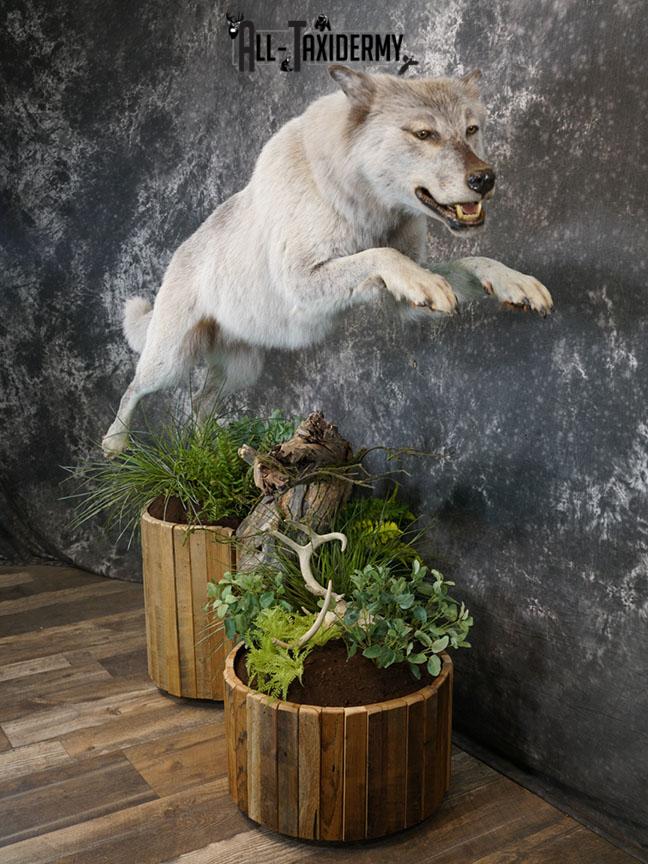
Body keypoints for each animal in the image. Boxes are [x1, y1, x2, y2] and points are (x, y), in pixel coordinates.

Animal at [102, 64, 553, 457]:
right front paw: (425, 280)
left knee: (200, 400)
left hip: (241, 369)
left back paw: (207, 450)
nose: (485, 179)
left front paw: (516, 283)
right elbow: (380, 254)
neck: (361, 203)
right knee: (134, 389)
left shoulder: (403, 305)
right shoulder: (303, 281)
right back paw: (115, 444)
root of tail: (176, 257)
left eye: (471, 130)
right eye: (424, 134)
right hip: (170, 362)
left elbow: (473, 261)